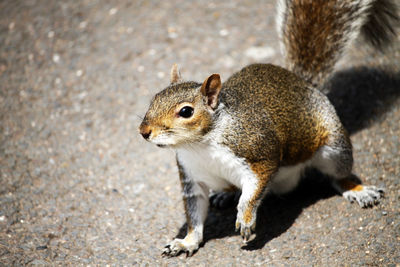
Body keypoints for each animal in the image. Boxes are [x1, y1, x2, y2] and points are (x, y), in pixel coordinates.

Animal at [138, 0, 396, 258]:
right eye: (154, 98)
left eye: (186, 112)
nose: (144, 131)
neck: (201, 145)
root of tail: (302, 81)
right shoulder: (192, 177)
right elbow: (194, 214)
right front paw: (186, 242)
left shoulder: (258, 153)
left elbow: (253, 191)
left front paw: (245, 218)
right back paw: (225, 193)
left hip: (334, 147)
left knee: (338, 175)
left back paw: (358, 189)